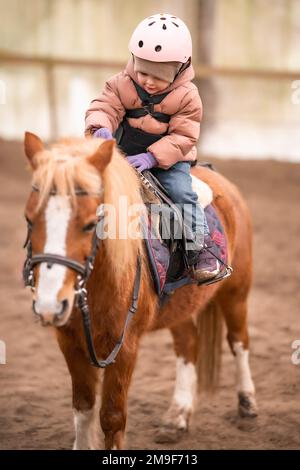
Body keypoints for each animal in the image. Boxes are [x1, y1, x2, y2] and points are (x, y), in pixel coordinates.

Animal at [24, 131, 258, 448]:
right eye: (29, 219)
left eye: (90, 224)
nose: (49, 305)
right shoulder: (69, 341)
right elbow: (83, 408)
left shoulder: (125, 346)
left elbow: (111, 417)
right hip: (180, 306)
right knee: (189, 343)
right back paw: (177, 417)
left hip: (236, 292)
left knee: (238, 341)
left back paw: (247, 405)